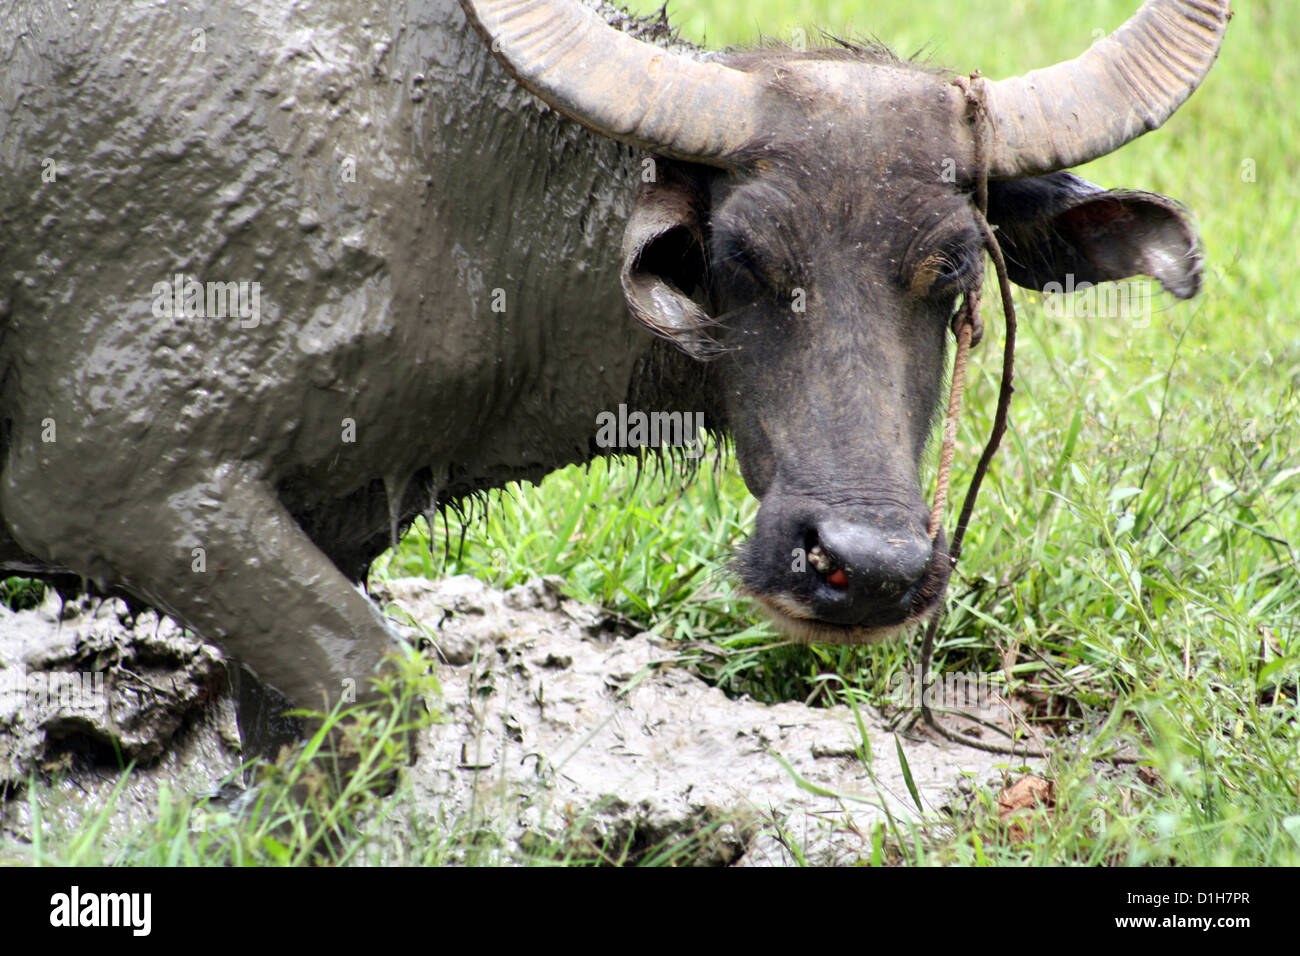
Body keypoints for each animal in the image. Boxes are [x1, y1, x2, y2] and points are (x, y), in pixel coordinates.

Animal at [0, 0, 1222, 733]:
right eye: (741, 257)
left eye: (957, 271)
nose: (866, 567)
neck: (458, 191)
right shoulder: (123, 489)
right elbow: (379, 689)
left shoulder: (323, 536)